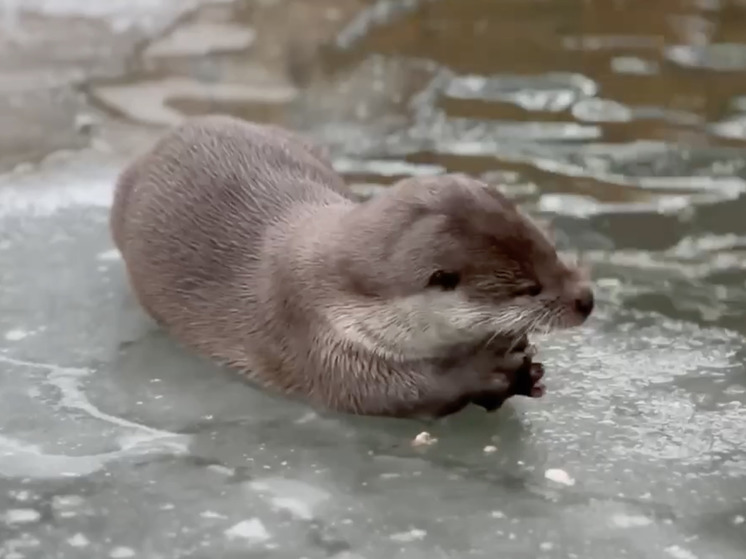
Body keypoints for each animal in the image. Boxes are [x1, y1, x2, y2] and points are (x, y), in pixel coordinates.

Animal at [109, 116, 592, 418]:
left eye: (551, 251)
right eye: (529, 288)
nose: (586, 299)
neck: (344, 294)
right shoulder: (312, 334)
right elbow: (389, 395)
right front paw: (490, 371)